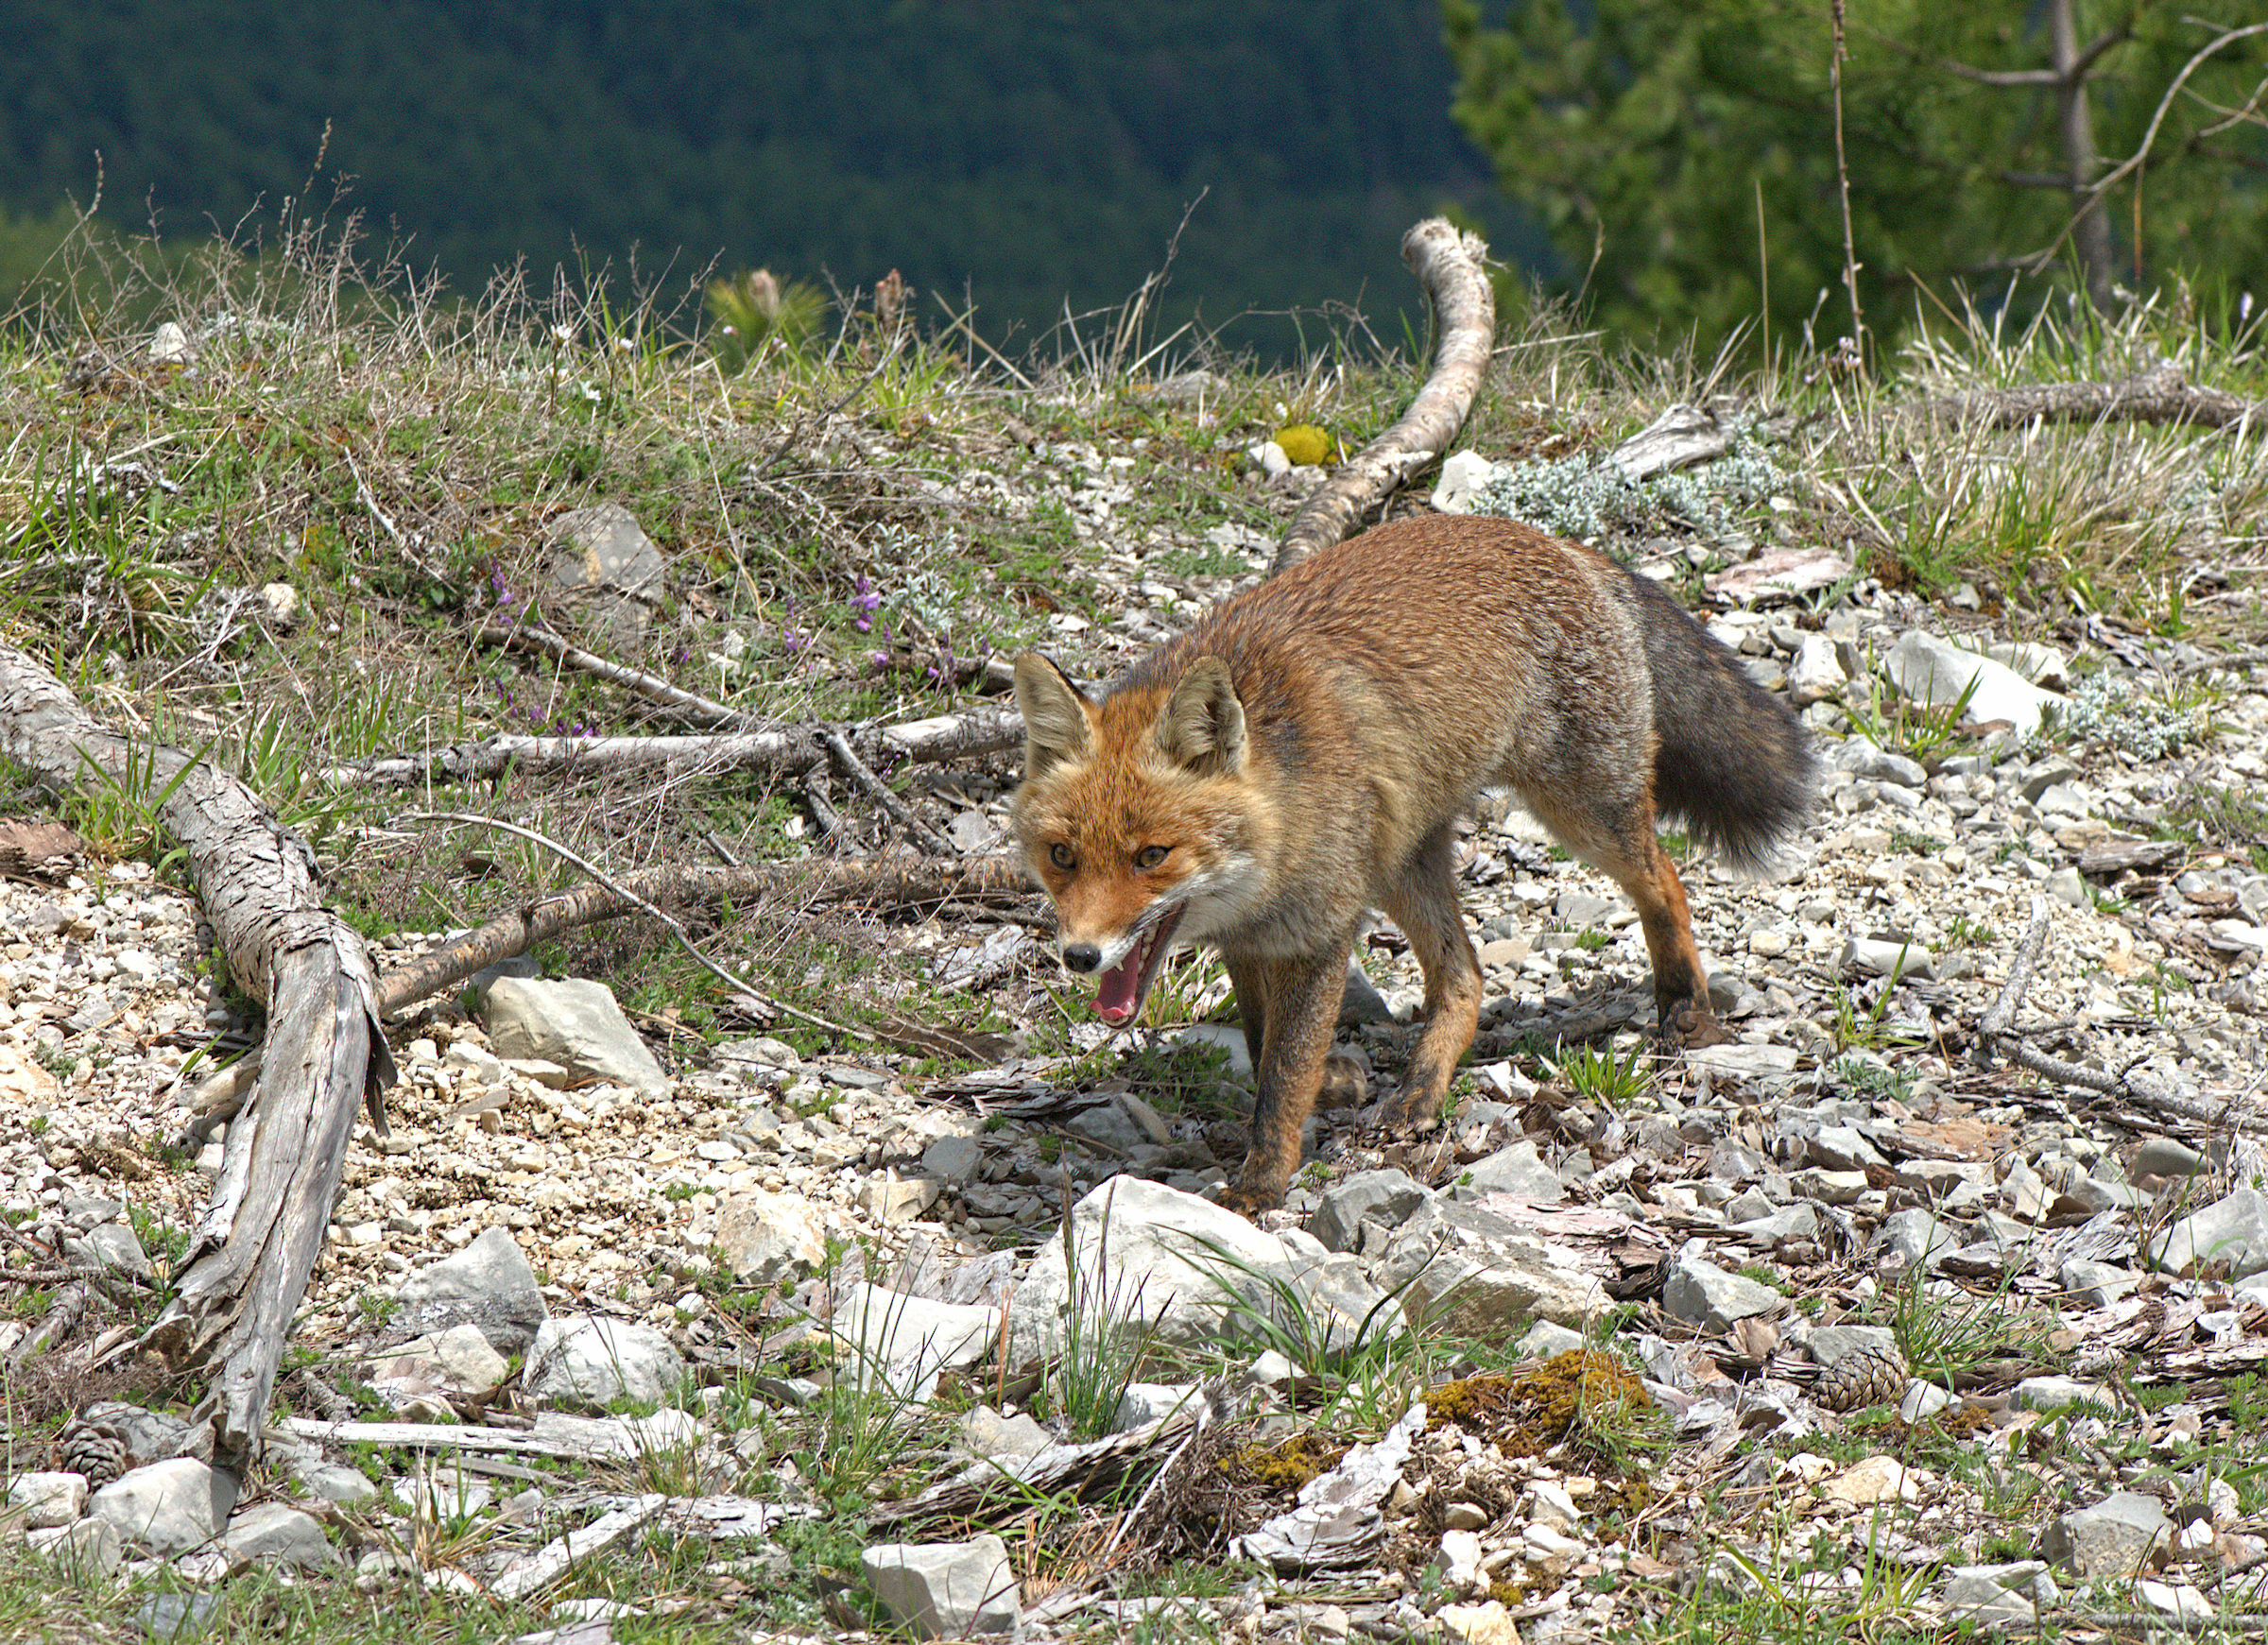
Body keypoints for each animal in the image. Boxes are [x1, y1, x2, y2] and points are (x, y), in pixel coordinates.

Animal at [1011, 511, 1816, 1214]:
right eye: (1062, 856)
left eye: (1152, 855)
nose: (1080, 956)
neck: (1277, 832)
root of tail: (1555, 540)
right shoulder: (1252, 940)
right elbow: (1262, 1040)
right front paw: (1334, 1084)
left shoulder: (1319, 935)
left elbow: (1282, 1075)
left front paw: (1261, 1180)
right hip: (1403, 862)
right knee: (1465, 975)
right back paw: (1424, 1086)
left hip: (1583, 811)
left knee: (1666, 880)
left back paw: (1685, 1000)